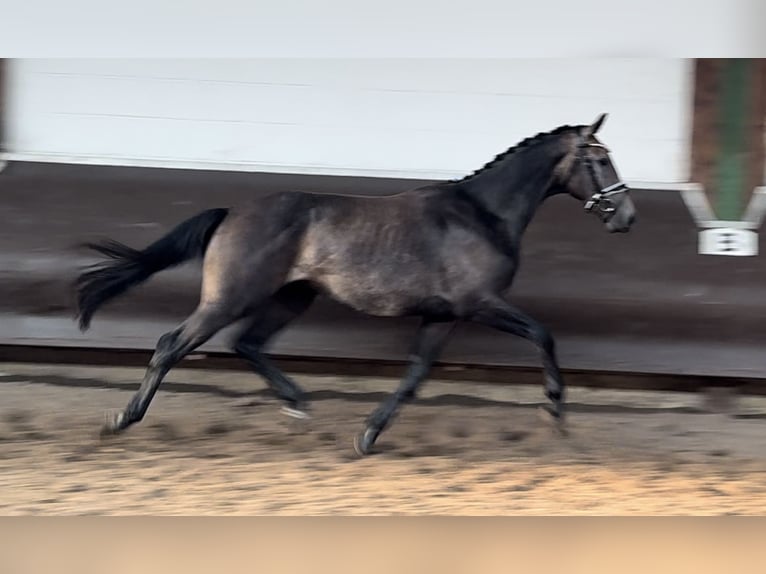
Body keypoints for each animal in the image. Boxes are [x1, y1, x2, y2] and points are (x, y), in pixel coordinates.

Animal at [76, 113, 636, 460]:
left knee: (247, 343)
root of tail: (231, 213)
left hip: (292, 296)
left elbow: (414, 375)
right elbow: (543, 334)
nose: (626, 216)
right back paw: (122, 419)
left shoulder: (443, 315)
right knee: (173, 344)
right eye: (600, 159)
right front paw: (555, 411)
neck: (482, 215)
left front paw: (368, 434)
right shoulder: (479, 304)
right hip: (230, 297)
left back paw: (298, 403)